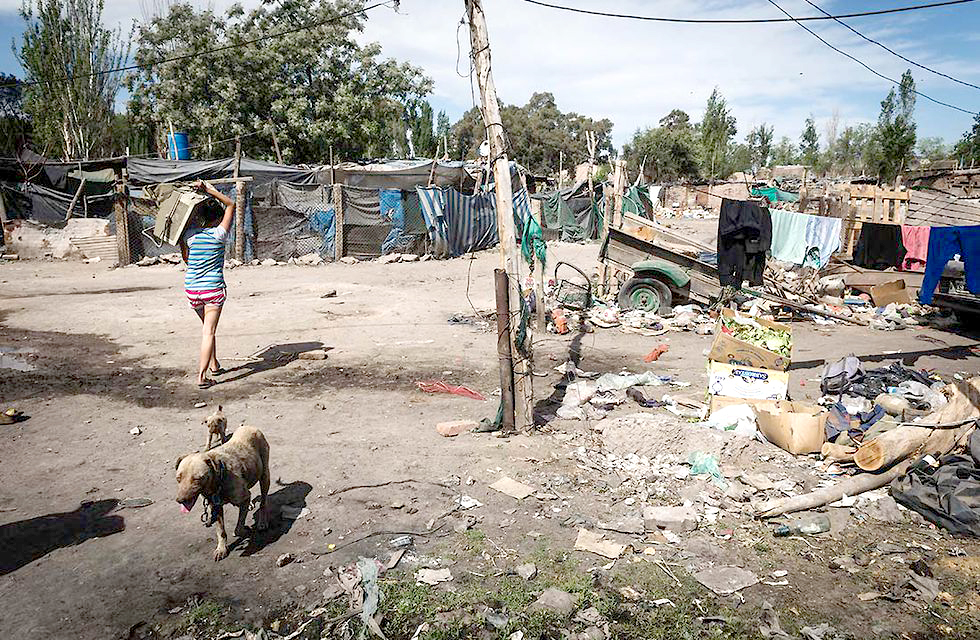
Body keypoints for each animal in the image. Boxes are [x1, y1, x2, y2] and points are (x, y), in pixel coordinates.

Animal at [174, 428, 270, 564]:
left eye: (197, 478)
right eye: (178, 478)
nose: (180, 500)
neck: (220, 479)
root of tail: (250, 427)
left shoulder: (243, 498)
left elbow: (238, 528)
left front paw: (244, 530)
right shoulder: (216, 507)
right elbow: (221, 531)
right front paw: (221, 549)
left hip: (265, 476)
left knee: (263, 502)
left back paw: (262, 522)